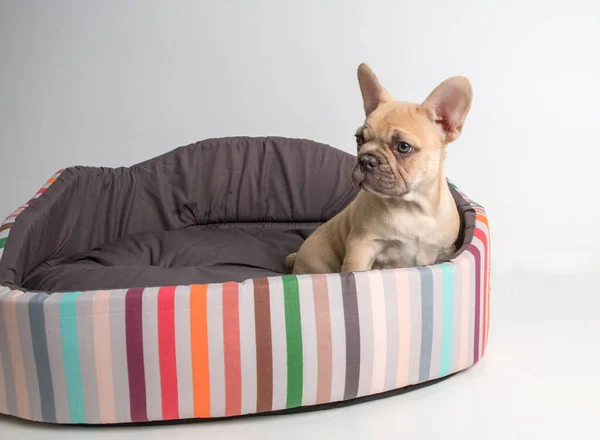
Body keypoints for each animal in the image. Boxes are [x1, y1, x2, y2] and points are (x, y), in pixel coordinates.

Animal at [286, 63, 474, 274]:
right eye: (359, 139)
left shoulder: (445, 250)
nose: (366, 160)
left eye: (403, 147)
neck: (412, 208)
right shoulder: (362, 246)